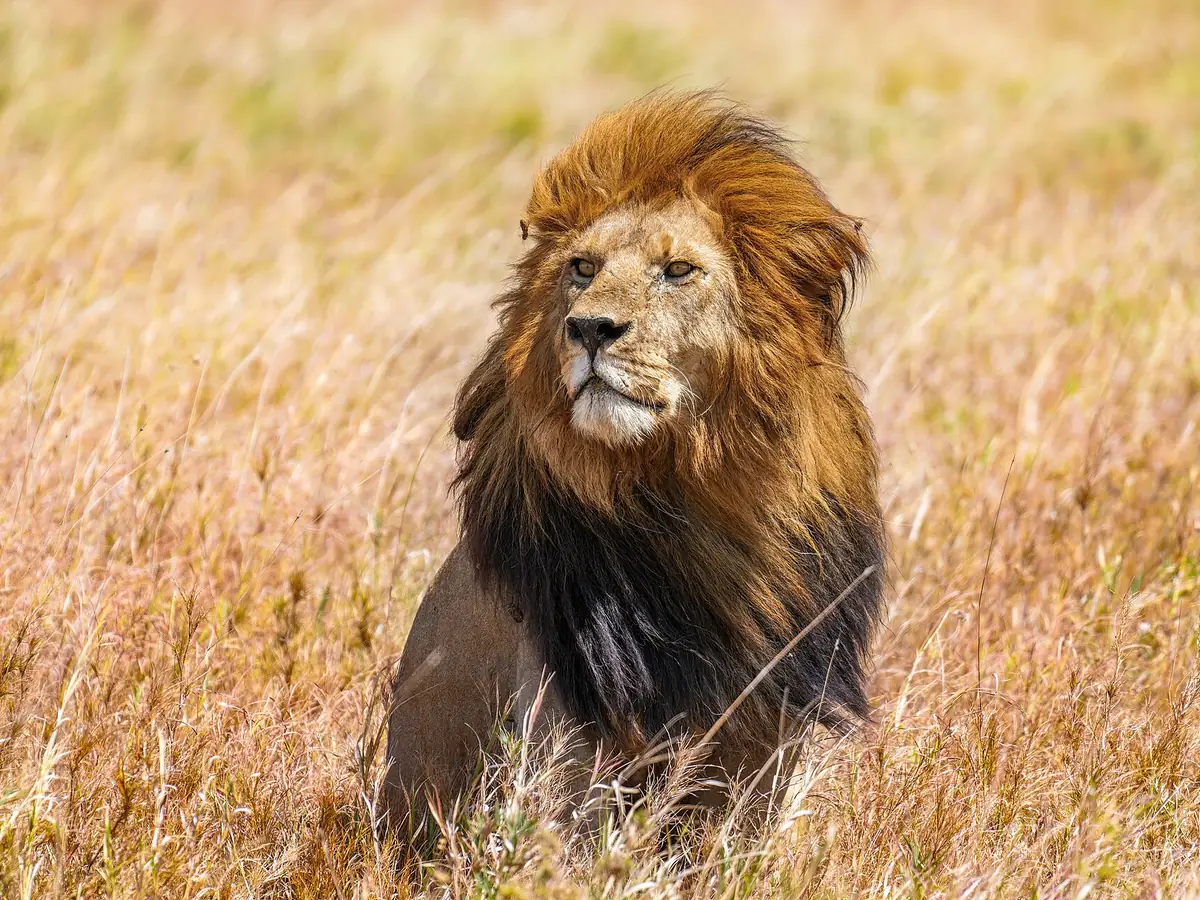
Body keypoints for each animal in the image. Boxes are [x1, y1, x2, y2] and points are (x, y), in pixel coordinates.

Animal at [384, 91, 885, 839]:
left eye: (676, 271)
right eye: (582, 268)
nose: (589, 328)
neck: (693, 492)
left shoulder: (766, 731)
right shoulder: (569, 720)